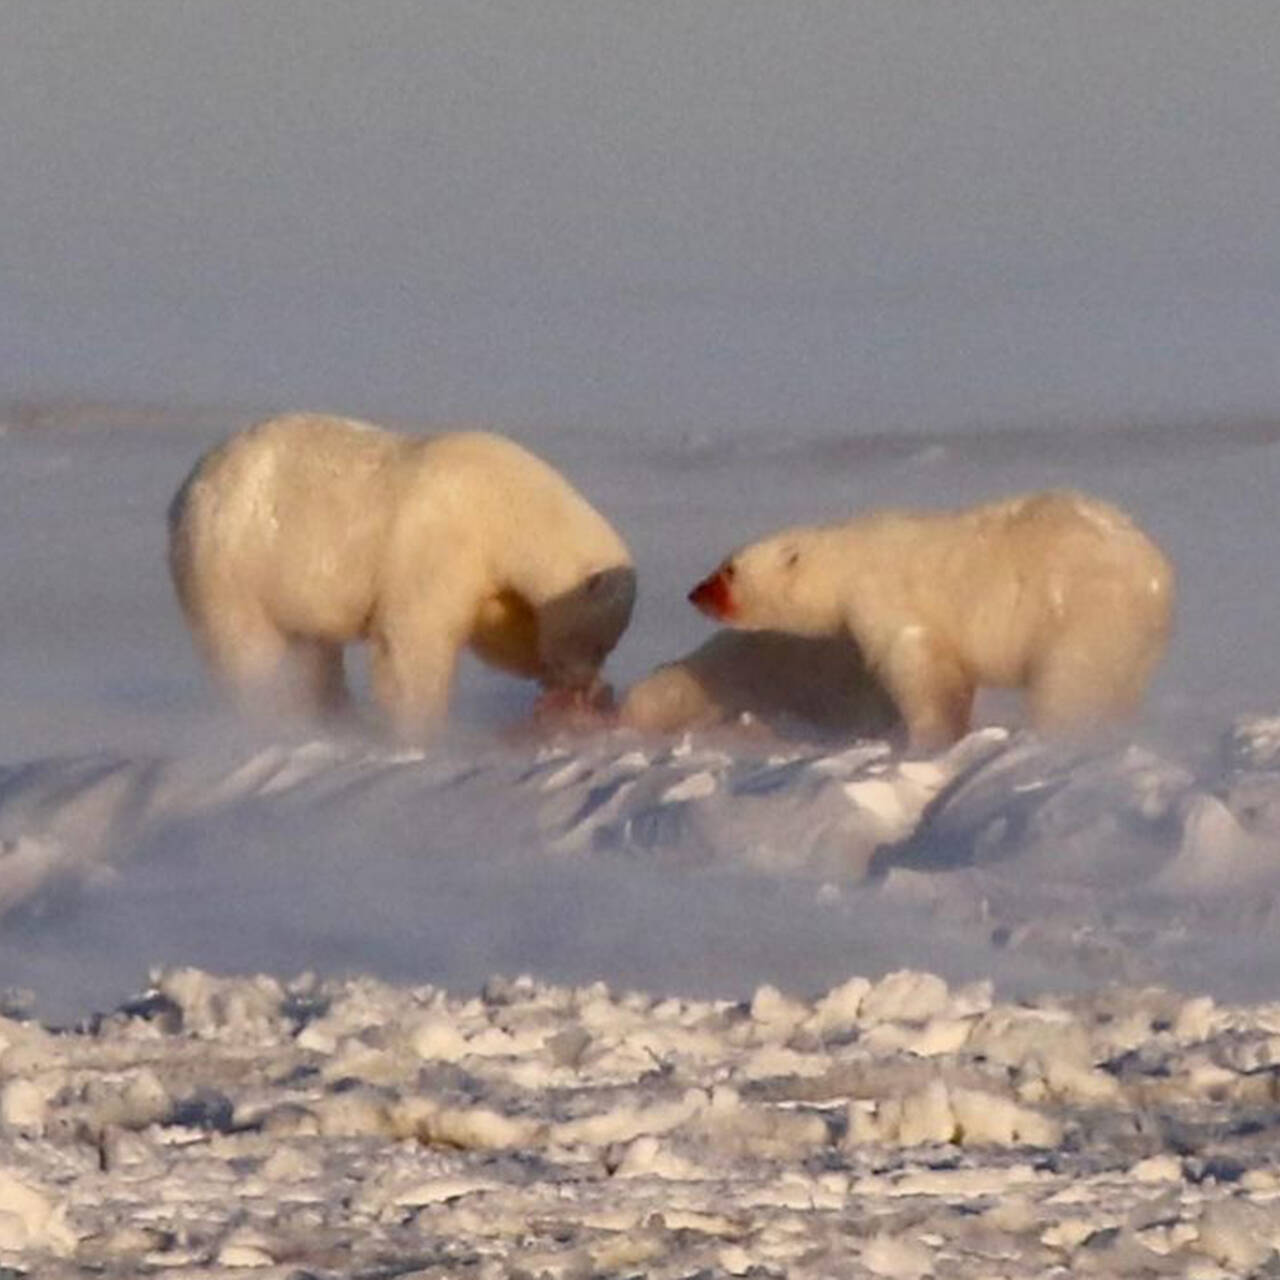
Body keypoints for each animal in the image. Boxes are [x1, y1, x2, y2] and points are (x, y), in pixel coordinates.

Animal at [167, 414, 637, 742]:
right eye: (601, 643)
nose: (583, 685)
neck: (508, 503)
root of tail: (186, 490)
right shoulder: (443, 541)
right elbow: (415, 638)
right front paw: (423, 730)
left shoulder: (486, 567)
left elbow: (500, 629)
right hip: (233, 566)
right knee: (247, 651)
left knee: (313, 652)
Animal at [691, 488, 1172, 747]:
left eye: (729, 569)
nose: (696, 593)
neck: (849, 559)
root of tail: (1158, 577)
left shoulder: (888, 598)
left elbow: (922, 669)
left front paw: (928, 741)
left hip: (1085, 611)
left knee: (1071, 681)